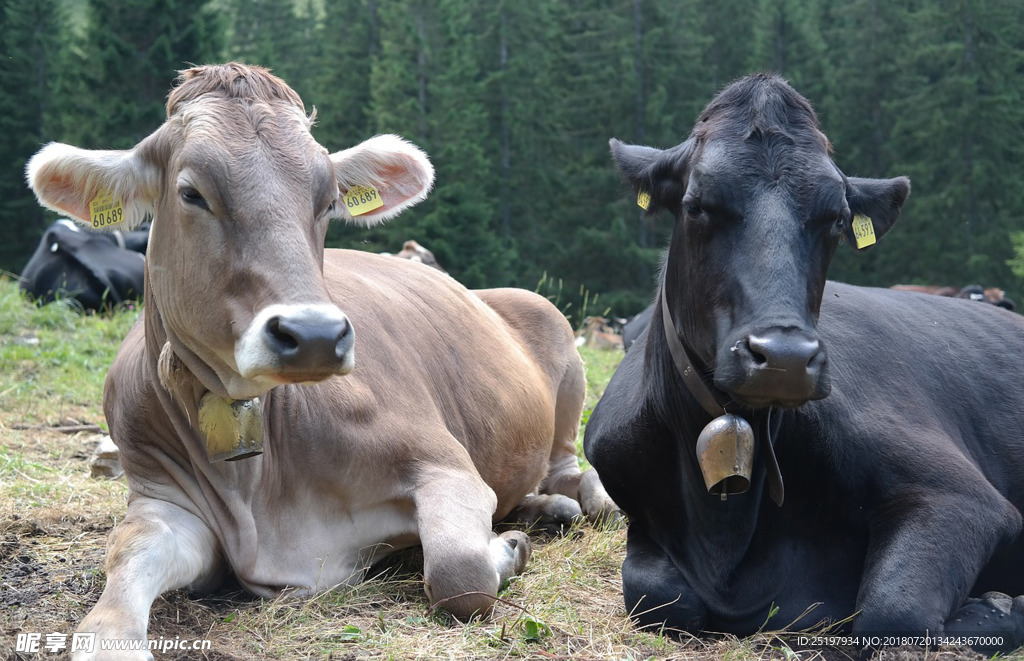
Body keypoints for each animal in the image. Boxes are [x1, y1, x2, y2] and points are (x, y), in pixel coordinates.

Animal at [585, 73, 1024, 658]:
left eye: (837, 219)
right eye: (697, 205)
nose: (785, 359)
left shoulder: (959, 496)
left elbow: (892, 610)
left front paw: (1001, 607)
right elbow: (653, 594)